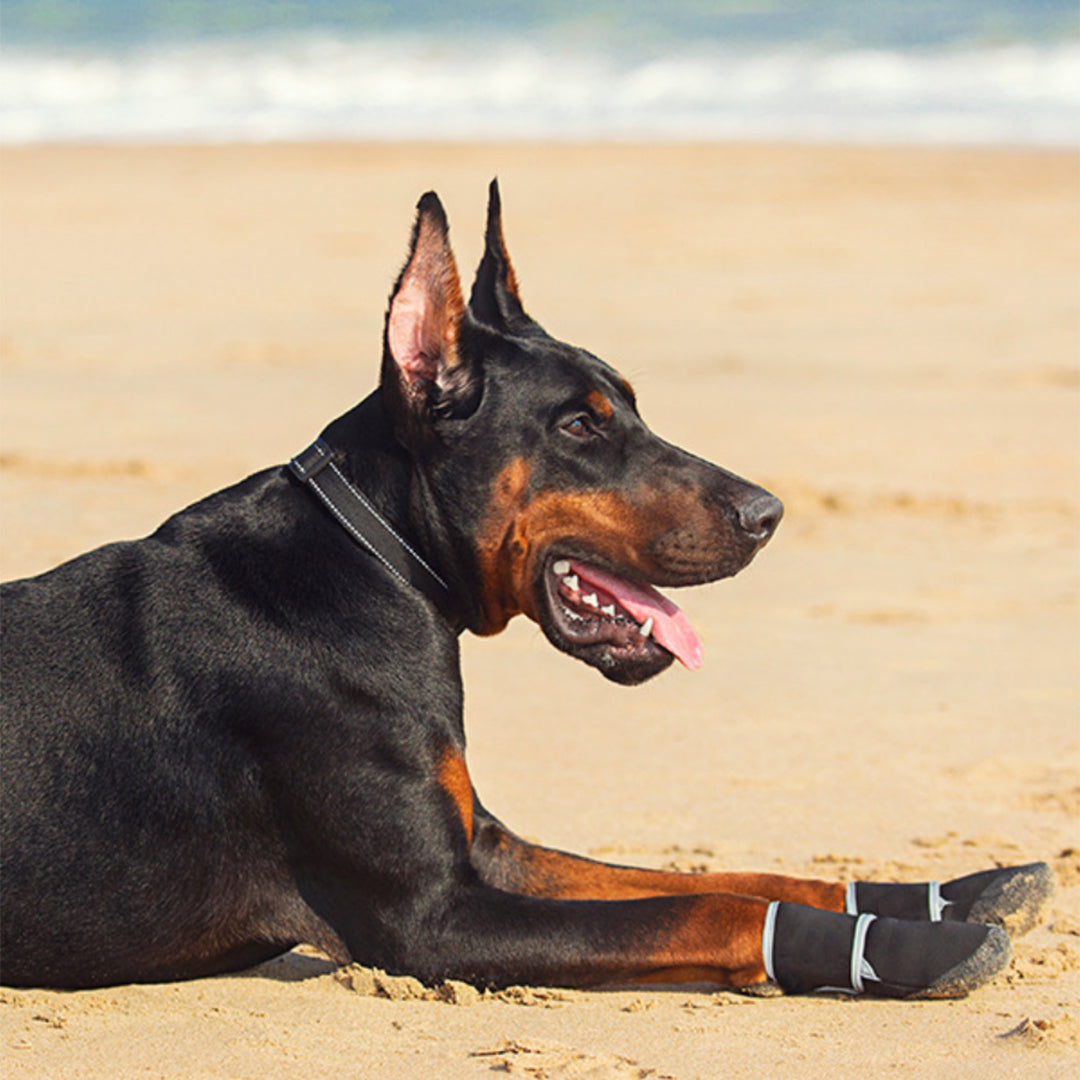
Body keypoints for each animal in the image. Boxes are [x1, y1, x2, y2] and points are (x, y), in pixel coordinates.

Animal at [0, 179, 1049, 993]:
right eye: (580, 426)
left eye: (630, 404)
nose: (769, 513)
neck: (378, 562)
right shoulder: (429, 918)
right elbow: (706, 906)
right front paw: (904, 949)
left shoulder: (486, 844)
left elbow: (739, 878)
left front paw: (938, 896)